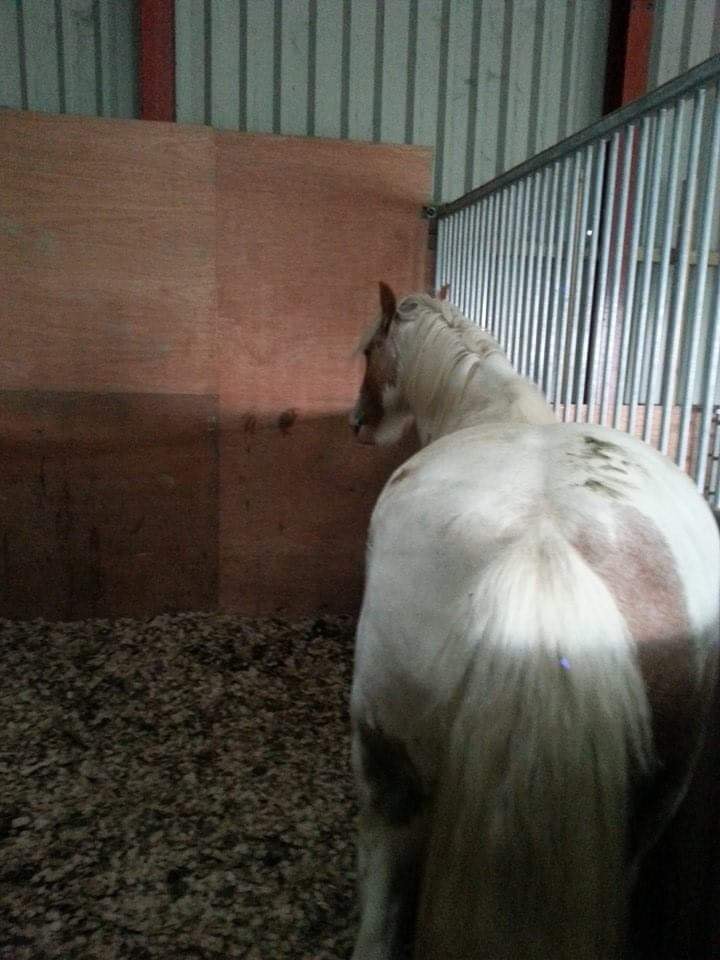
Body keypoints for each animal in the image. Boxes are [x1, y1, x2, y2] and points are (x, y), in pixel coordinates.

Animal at [348, 283, 719, 960]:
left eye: (370, 349)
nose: (357, 421)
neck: (497, 413)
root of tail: (543, 547)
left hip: (385, 771)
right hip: (654, 801)